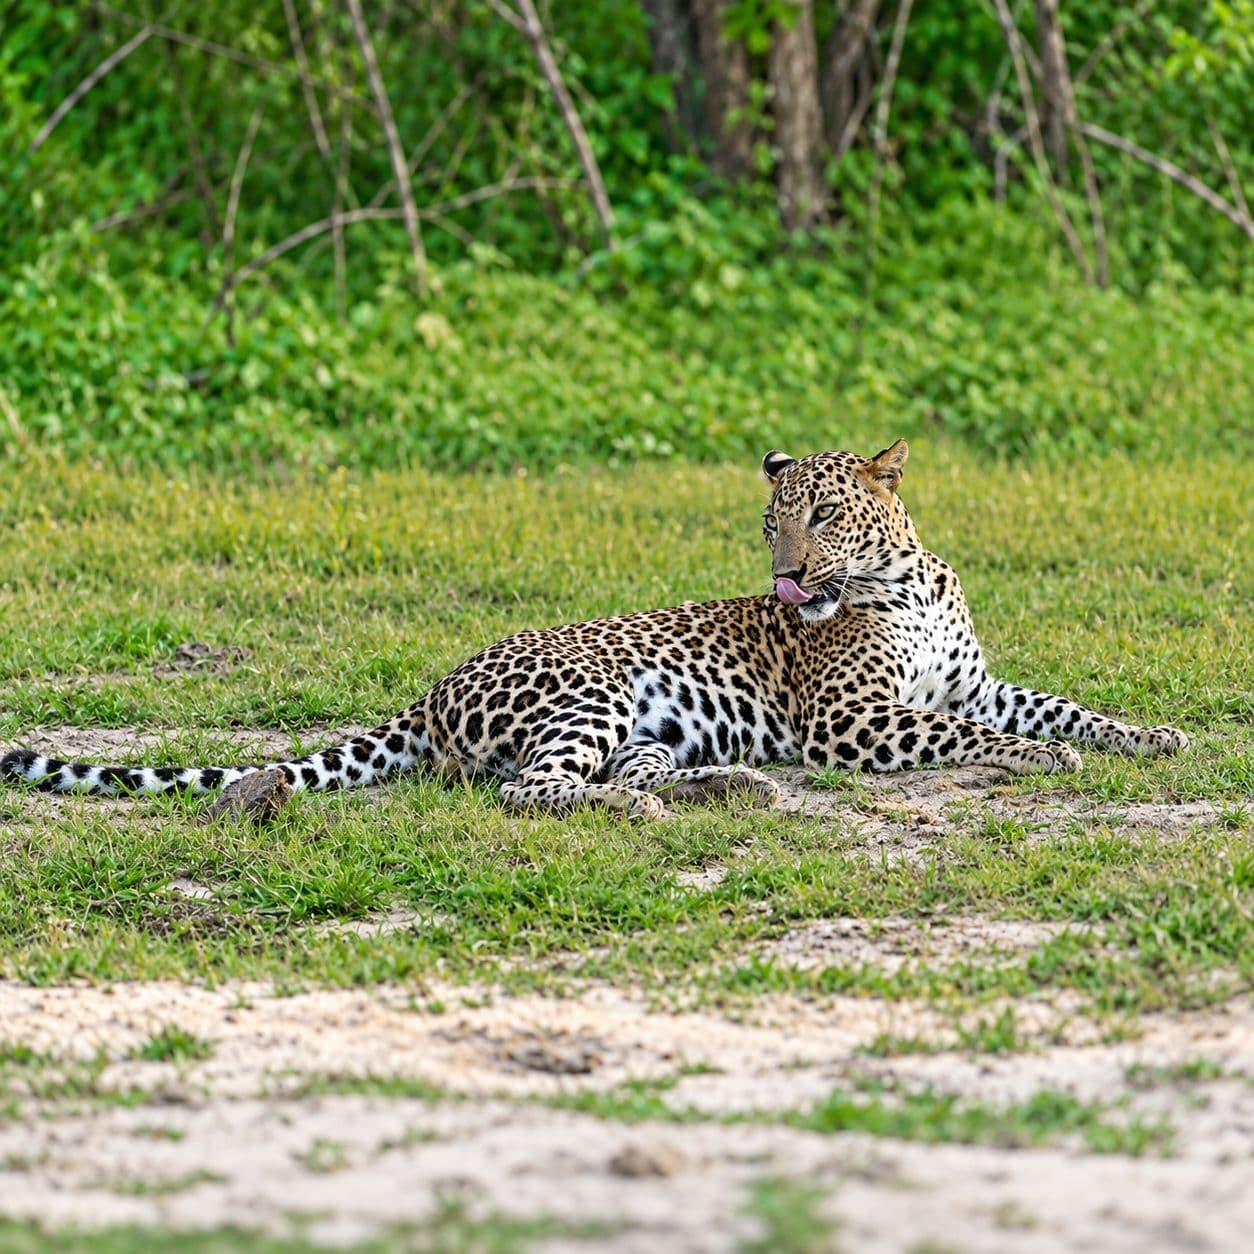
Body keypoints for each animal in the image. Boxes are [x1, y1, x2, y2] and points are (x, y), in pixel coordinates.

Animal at [1, 440, 1188, 819]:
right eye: (772, 521)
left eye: (822, 515)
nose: (785, 577)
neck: (903, 579)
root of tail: (432, 689)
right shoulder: (857, 723)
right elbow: (982, 736)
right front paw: (1039, 760)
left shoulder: (973, 684)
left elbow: (1062, 707)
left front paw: (1152, 736)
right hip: (594, 689)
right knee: (531, 791)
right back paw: (652, 809)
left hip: (644, 722)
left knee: (616, 770)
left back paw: (717, 785)